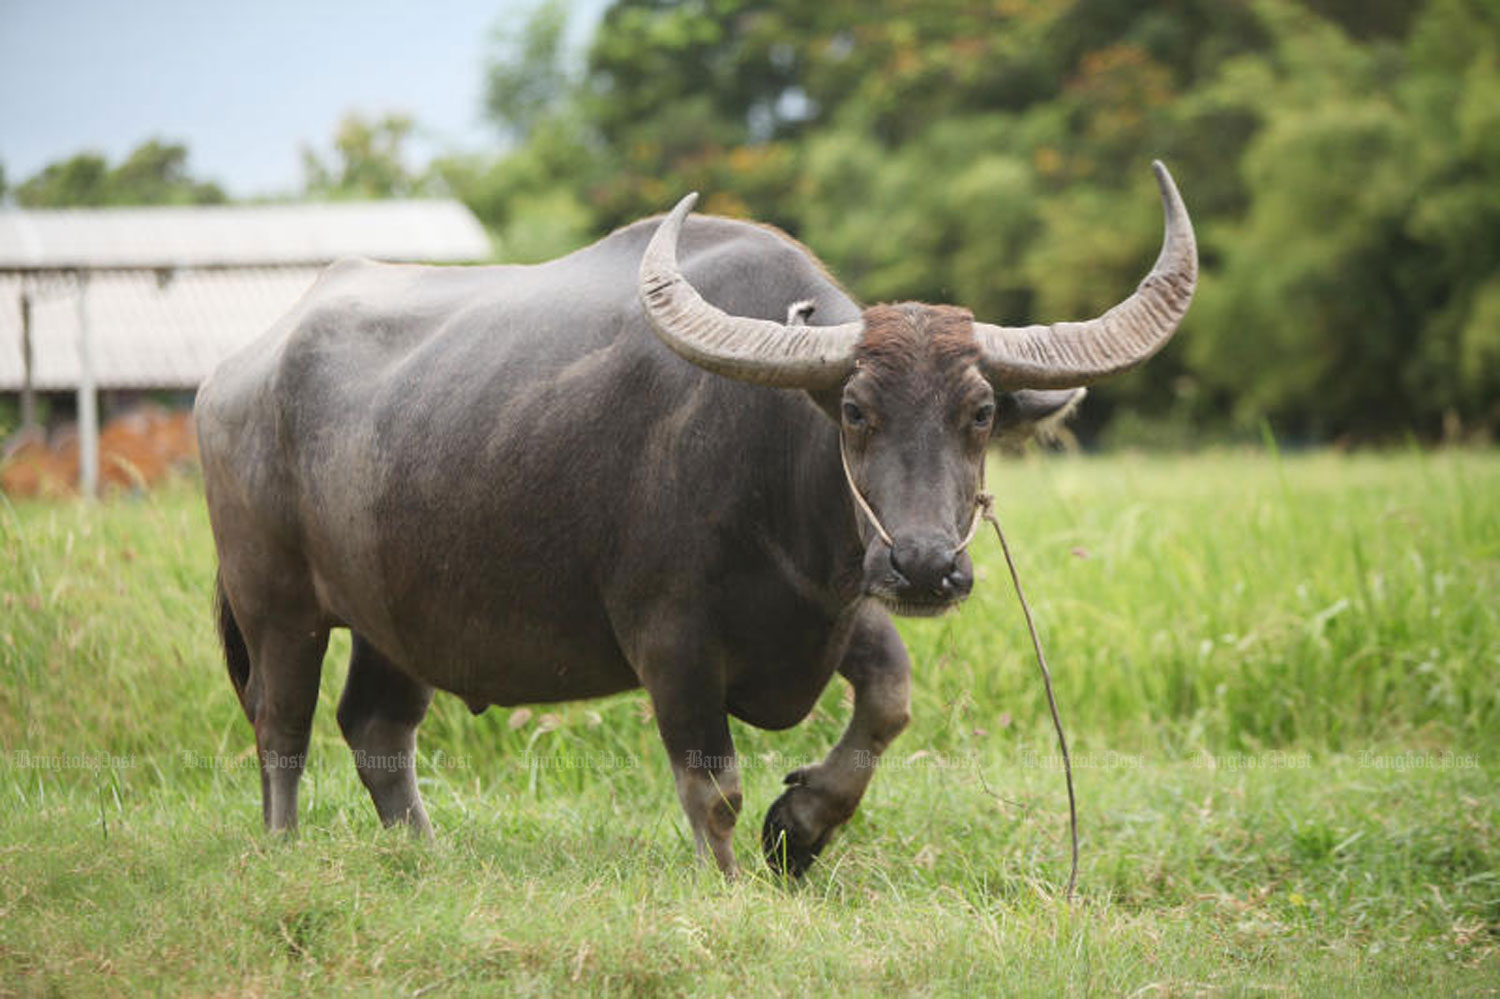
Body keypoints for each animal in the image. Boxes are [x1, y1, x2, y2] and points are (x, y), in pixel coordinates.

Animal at [199, 161, 1194, 870]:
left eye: (980, 412)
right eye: (855, 409)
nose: (924, 566)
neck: (775, 479)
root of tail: (231, 376)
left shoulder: (837, 604)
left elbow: (891, 698)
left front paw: (801, 825)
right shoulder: (670, 640)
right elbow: (711, 785)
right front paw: (736, 876)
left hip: (395, 617)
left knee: (376, 730)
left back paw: (426, 852)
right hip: (277, 604)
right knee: (280, 726)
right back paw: (283, 849)